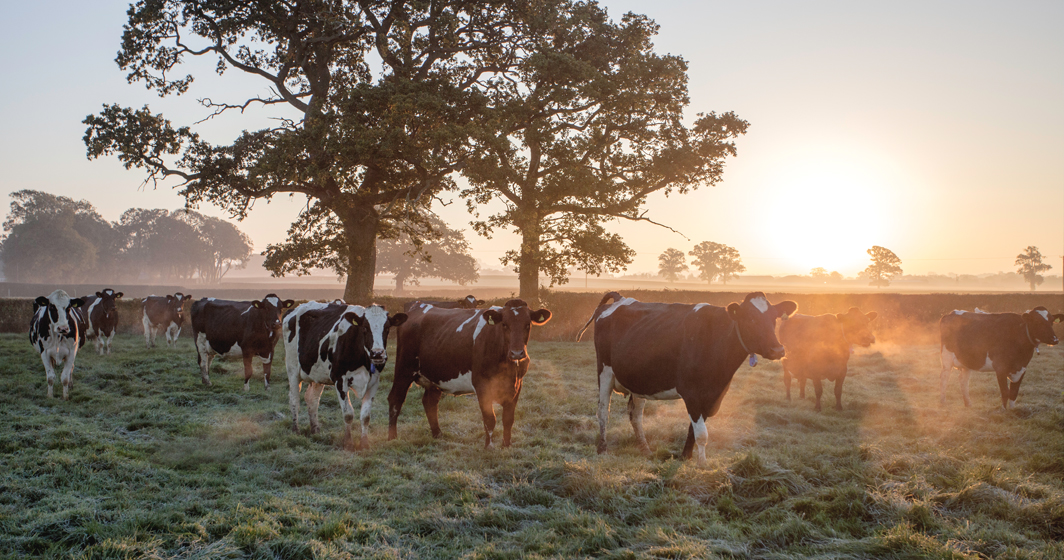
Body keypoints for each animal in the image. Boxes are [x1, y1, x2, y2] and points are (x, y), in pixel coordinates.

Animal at [283, 302, 406, 451]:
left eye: (387, 328)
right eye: (365, 327)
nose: (377, 353)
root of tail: (295, 308)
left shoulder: (374, 381)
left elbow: (366, 416)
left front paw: (364, 443)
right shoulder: (340, 380)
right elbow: (348, 414)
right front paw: (348, 443)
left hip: (318, 373)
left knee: (312, 399)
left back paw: (315, 430)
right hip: (292, 369)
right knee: (294, 399)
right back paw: (296, 430)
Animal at [391, 300, 557, 449]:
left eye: (528, 324)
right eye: (504, 324)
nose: (517, 353)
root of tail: (417, 306)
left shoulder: (517, 385)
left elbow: (508, 419)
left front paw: (506, 445)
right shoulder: (482, 384)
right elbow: (490, 419)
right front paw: (488, 446)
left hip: (435, 377)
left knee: (429, 402)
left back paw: (437, 434)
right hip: (404, 368)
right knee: (395, 399)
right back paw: (392, 437)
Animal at [578, 291, 795, 464]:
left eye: (774, 318)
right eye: (750, 319)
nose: (778, 350)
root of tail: (621, 298)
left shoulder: (711, 395)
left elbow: (694, 429)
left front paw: (686, 457)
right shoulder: (691, 392)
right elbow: (702, 433)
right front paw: (702, 465)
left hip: (639, 381)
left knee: (635, 415)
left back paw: (645, 449)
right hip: (605, 371)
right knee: (603, 411)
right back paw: (602, 449)